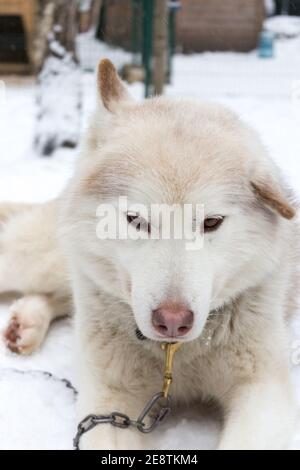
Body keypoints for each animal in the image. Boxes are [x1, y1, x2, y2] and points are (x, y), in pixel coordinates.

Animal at [1, 60, 298, 450]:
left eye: (211, 222)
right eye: (136, 220)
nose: (172, 320)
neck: (174, 355)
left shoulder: (263, 390)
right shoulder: (109, 401)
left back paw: (26, 323)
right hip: (38, 260)